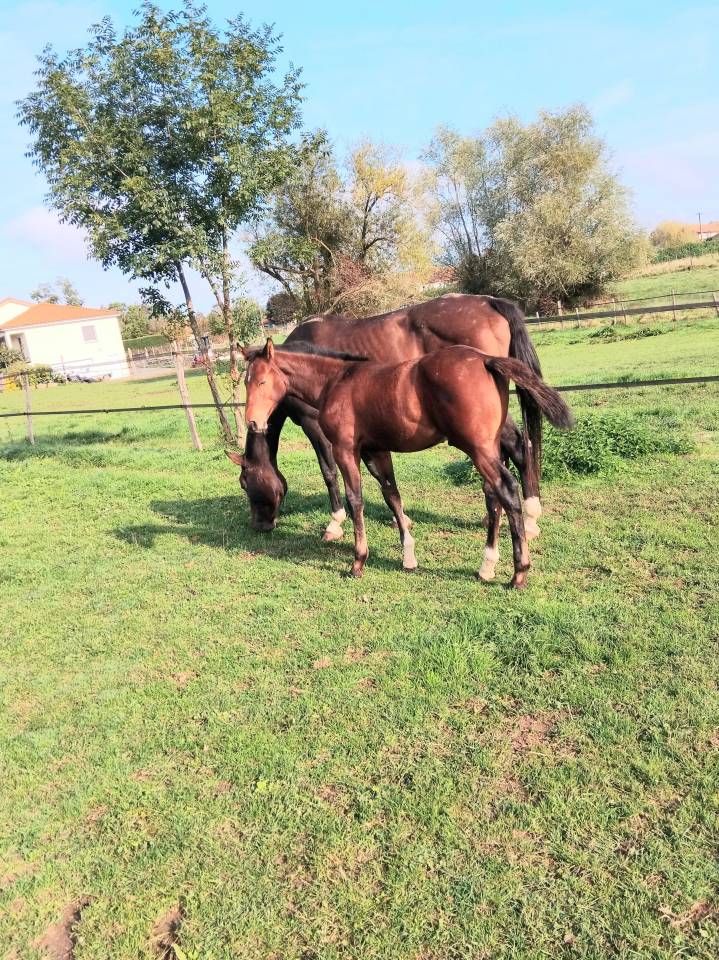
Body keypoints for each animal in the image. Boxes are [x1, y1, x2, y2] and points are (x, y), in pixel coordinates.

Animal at [227, 294, 547, 540]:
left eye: (245, 482)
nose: (259, 525)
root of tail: (490, 301)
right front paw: (399, 519)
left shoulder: (314, 425)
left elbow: (328, 472)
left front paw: (335, 523)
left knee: (518, 445)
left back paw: (528, 518)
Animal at [242, 339, 573, 588]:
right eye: (245, 382)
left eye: (261, 380)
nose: (254, 422)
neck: (336, 382)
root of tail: (486, 359)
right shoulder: (376, 451)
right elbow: (392, 495)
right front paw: (409, 557)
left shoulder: (345, 450)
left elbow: (355, 500)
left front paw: (358, 561)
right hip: (489, 447)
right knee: (492, 496)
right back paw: (487, 566)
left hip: (478, 449)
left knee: (507, 490)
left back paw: (518, 573)